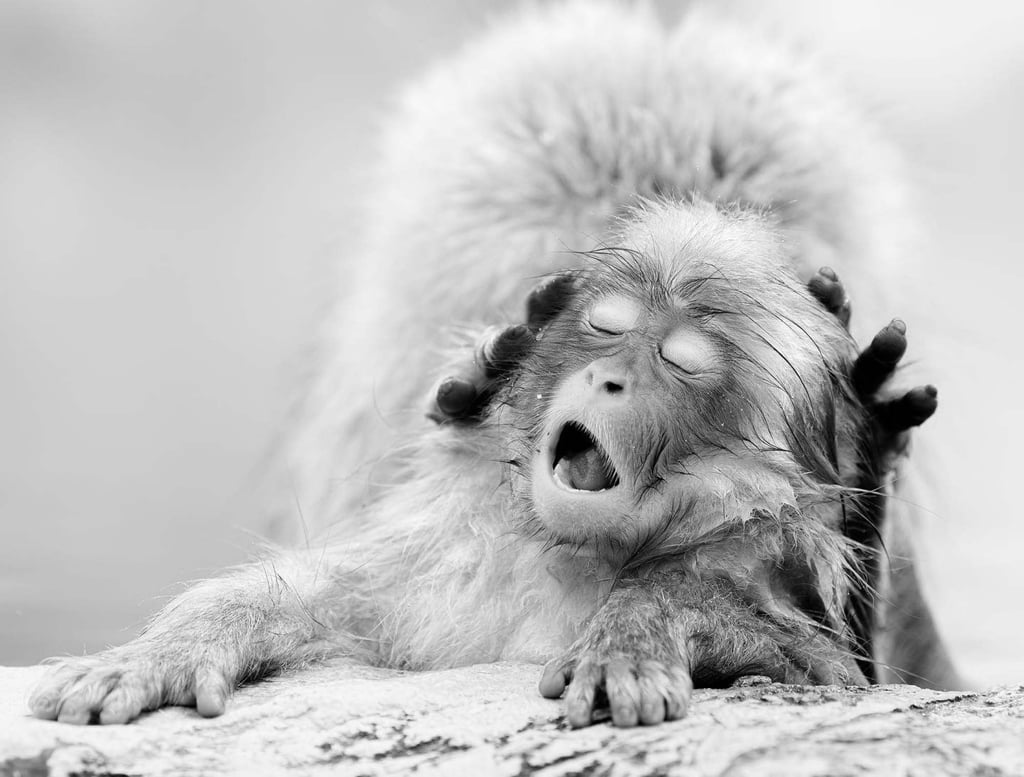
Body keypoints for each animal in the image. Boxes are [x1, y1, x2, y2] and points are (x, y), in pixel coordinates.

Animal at [27, 2, 959, 726]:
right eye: (601, 322)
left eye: (682, 362)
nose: (608, 378)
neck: (573, 555)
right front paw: (175, 646)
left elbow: (829, 662)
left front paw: (658, 612)